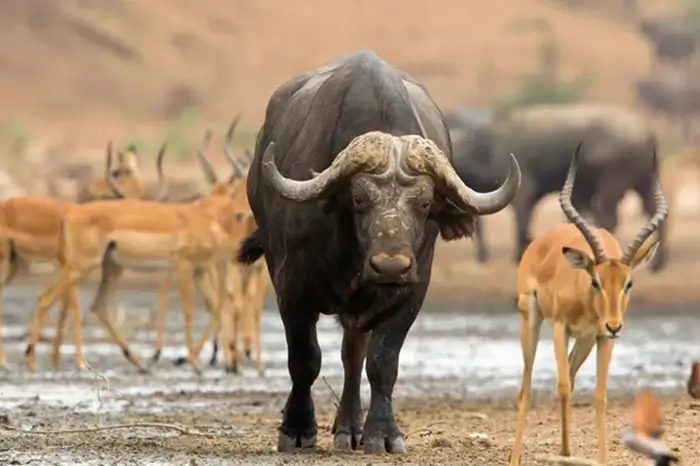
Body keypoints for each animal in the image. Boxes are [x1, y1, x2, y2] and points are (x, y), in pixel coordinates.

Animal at [237, 50, 521, 455]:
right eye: (359, 198)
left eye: (424, 203)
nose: (389, 267)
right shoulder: (290, 287)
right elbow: (304, 361)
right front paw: (297, 429)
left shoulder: (412, 291)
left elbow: (382, 362)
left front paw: (383, 434)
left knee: (353, 355)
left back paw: (349, 428)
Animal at [447, 104, 667, 272]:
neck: (485, 147)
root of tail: (648, 132)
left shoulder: (522, 189)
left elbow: (522, 221)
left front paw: (519, 255)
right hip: (645, 182)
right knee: (654, 214)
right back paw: (657, 263)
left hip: (612, 184)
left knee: (608, 218)